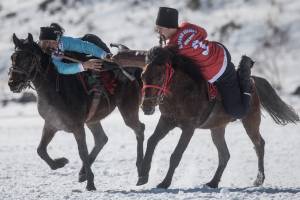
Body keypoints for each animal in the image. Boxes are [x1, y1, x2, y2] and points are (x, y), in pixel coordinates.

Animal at [8, 33, 145, 191]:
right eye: (13, 57)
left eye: (28, 58)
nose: (12, 83)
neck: (56, 89)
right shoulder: (52, 123)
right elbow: (40, 150)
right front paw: (60, 162)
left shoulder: (77, 126)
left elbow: (82, 152)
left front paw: (90, 183)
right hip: (92, 119)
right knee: (101, 139)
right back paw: (82, 173)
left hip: (128, 108)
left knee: (139, 129)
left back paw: (141, 172)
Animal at [137, 45, 300, 189]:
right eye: (143, 76)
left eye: (160, 76)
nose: (146, 106)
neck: (183, 91)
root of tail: (252, 81)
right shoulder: (166, 120)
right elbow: (152, 141)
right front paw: (143, 175)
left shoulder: (189, 128)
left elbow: (176, 155)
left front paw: (164, 183)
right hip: (217, 128)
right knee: (225, 155)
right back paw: (213, 182)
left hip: (250, 120)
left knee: (259, 144)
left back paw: (258, 180)